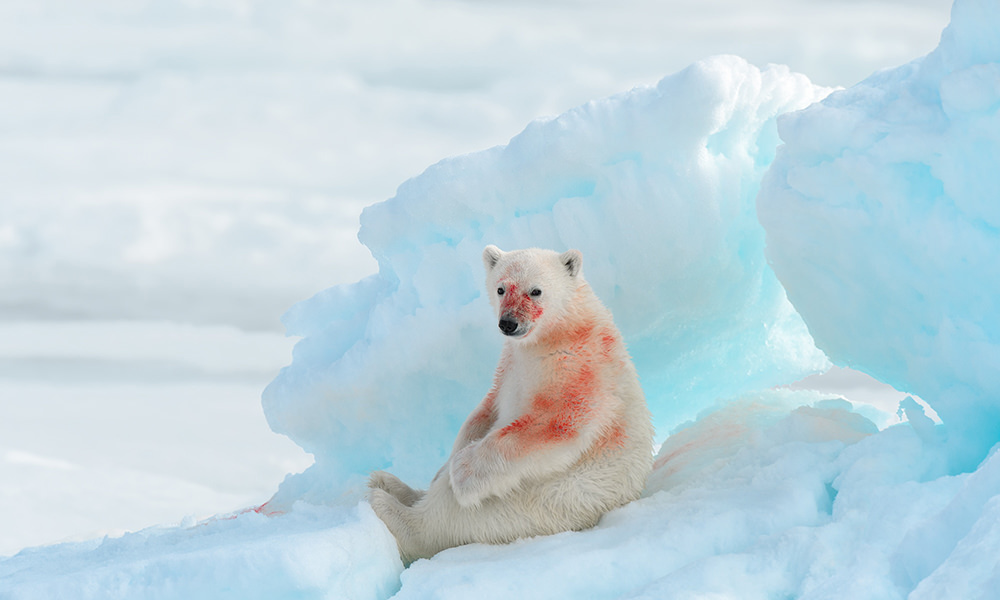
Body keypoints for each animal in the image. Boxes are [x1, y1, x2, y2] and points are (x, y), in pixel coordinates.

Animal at [368, 244, 656, 564]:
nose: (508, 323)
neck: (557, 334)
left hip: (536, 502)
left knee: (451, 518)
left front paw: (462, 471)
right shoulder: (509, 364)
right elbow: (485, 410)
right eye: (501, 288)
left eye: (536, 291)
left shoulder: (579, 368)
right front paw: (446, 464)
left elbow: (554, 424)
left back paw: (386, 502)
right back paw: (392, 483)